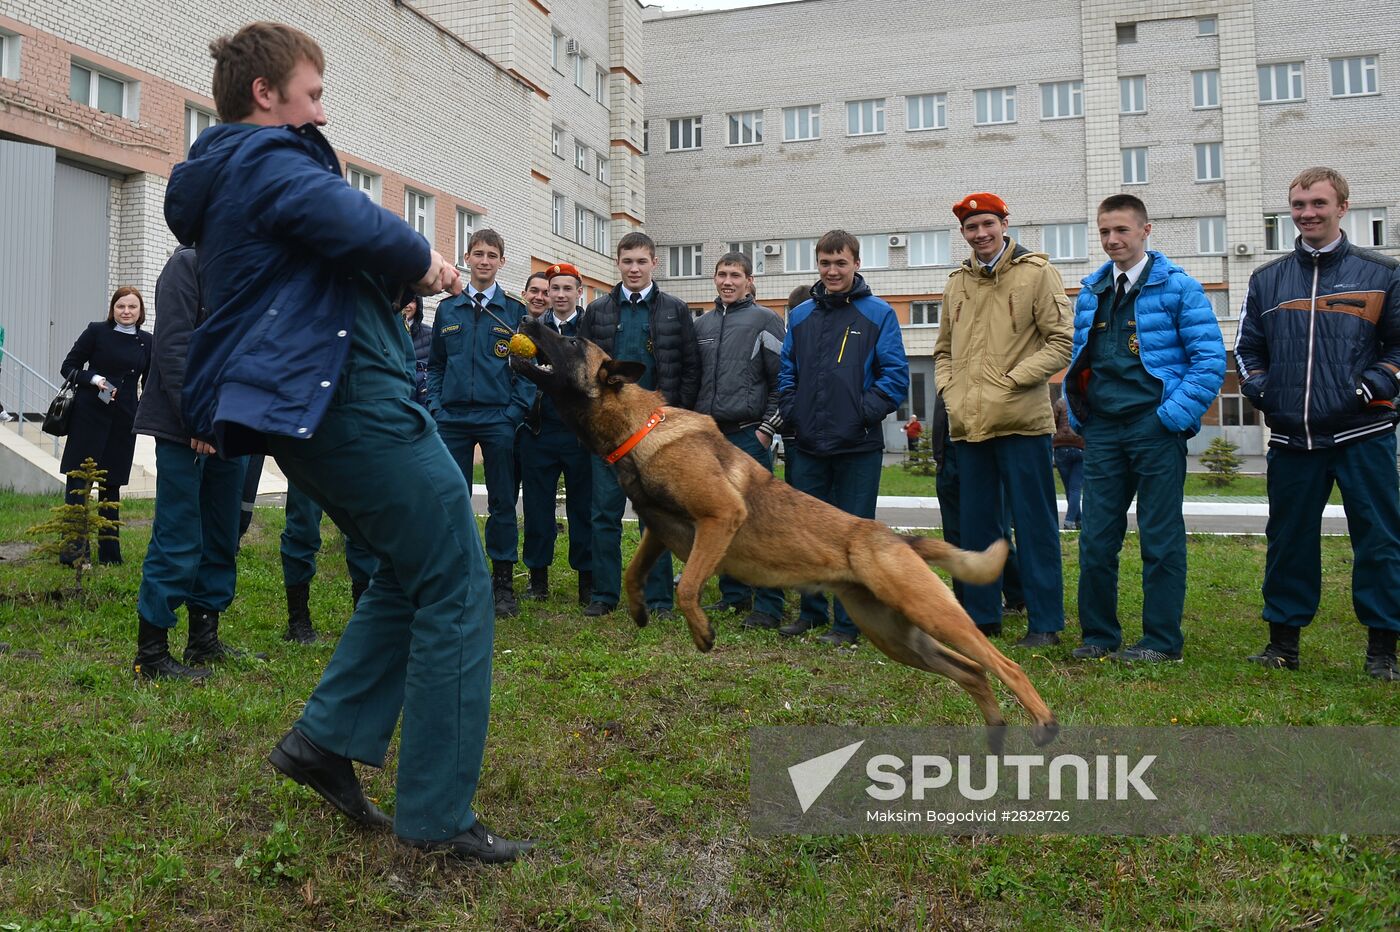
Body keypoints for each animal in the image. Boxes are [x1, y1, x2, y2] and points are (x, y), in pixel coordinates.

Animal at [515, 316, 1058, 744]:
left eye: (572, 341)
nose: (527, 317)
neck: (639, 427)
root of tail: (896, 539)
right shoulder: (657, 532)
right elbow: (632, 572)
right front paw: (638, 611)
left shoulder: (720, 517)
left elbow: (688, 588)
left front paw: (702, 632)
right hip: (896, 636)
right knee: (972, 672)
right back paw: (995, 733)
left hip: (932, 614)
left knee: (1002, 665)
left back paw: (1044, 722)